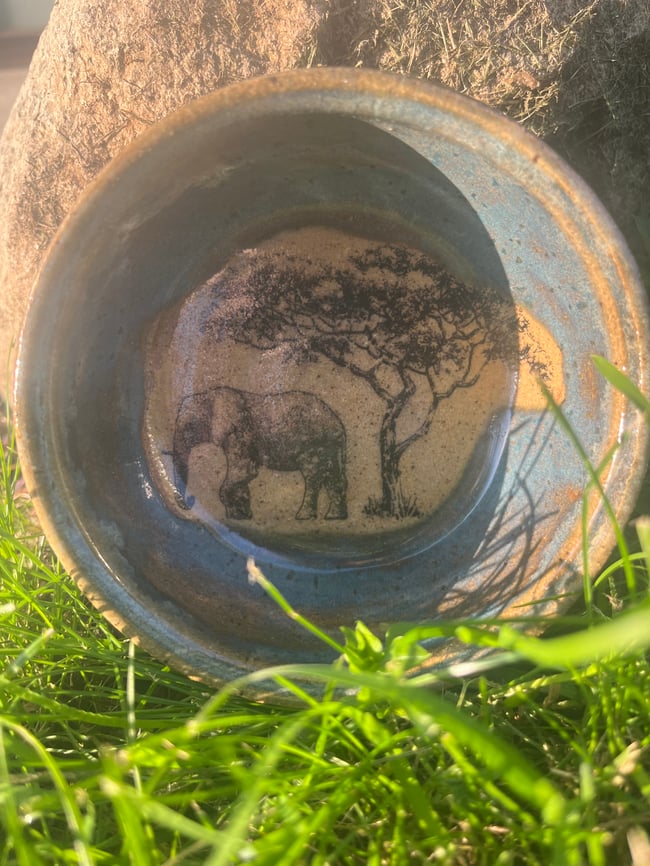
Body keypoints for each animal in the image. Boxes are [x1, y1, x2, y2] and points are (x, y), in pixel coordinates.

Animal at [170, 386, 348, 521]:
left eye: (191, 427)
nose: (190, 502)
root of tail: (338, 423)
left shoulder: (242, 433)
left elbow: (244, 472)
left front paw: (237, 516)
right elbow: (244, 475)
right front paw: (243, 515)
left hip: (314, 443)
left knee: (313, 476)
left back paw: (303, 517)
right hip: (332, 446)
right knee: (333, 477)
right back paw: (334, 517)